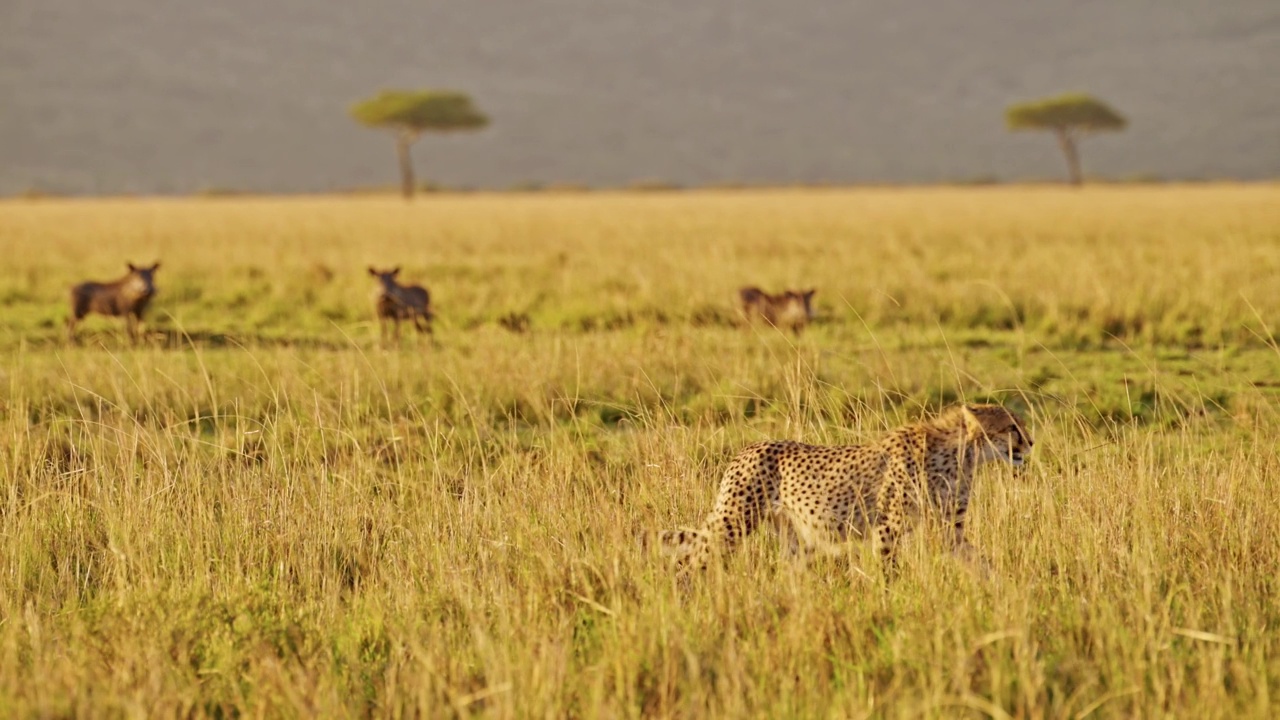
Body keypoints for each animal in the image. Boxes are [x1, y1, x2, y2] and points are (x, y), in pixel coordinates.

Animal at [660, 404, 1029, 571]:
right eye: (1012, 427)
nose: (1032, 443)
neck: (964, 454)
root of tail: (747, 448)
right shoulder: (887, 528)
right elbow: (888, 569)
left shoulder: (949, 529)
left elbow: (980, 562)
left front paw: (1005, 589)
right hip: (733, 523)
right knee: (692, 559)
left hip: (792, 537)